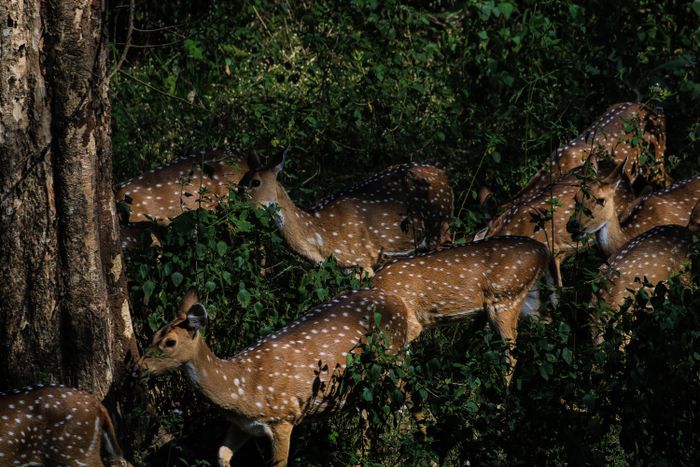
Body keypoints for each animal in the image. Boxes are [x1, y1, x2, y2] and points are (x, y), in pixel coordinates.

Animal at [138, 287, 421, 467]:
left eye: (170, 342)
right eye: (153, 335)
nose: (138, 367)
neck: (242, 387)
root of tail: (400, 302)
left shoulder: (284, 418)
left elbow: (279, 463)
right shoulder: (242, 425)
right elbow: (221, 454)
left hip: (392, 362)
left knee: (408, 397)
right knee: (369, 414)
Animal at [237, 151, 454, 277]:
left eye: (256, 182)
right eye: (241, 180)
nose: (237, 199)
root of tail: (444, 175)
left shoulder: (363, 260)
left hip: (439, 226)